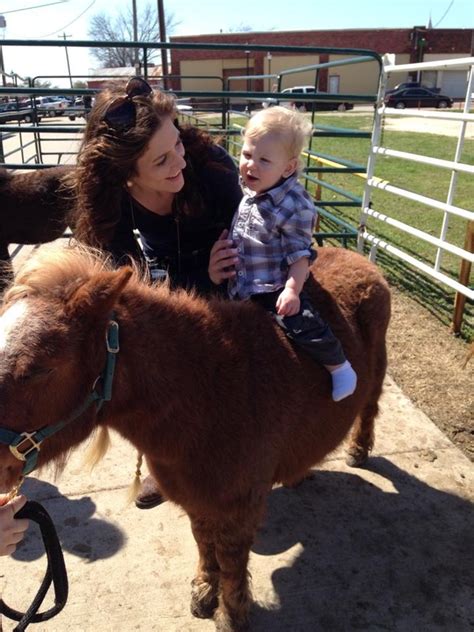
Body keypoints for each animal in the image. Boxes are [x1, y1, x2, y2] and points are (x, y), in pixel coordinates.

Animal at [0, 243, 390, 632]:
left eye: (40, 369)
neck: (209, 390)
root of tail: (358, 258)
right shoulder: (194, 496)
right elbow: (204, 541)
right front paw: (204, 591)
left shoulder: (238, 508)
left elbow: (231, 559)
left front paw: (231, 614)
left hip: (376, 374)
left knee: (369, 407)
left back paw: (358, 450)